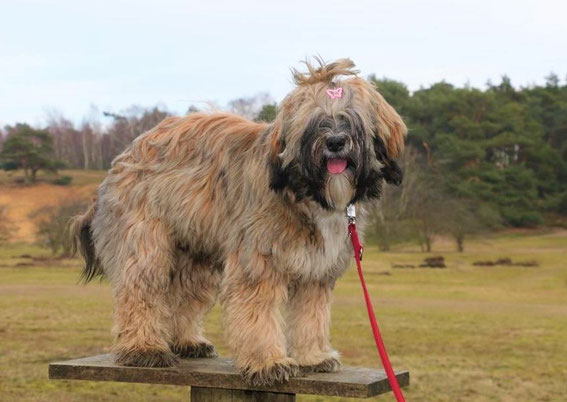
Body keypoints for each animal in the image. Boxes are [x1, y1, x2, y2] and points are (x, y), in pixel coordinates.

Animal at [72, 58, 408, 384]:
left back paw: (187, 341)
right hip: (145, 241)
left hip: (195, 251)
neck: (305, 194)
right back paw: (144, 348)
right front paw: (268, 363)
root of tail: (123, 158)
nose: (336, 142)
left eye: (351, 119)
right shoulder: (258, 260)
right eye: (315, 122)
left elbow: (311, 314)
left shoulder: (316, 270)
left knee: (185, 293)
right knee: (140, 289)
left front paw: (313, 357)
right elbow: (259, 314)